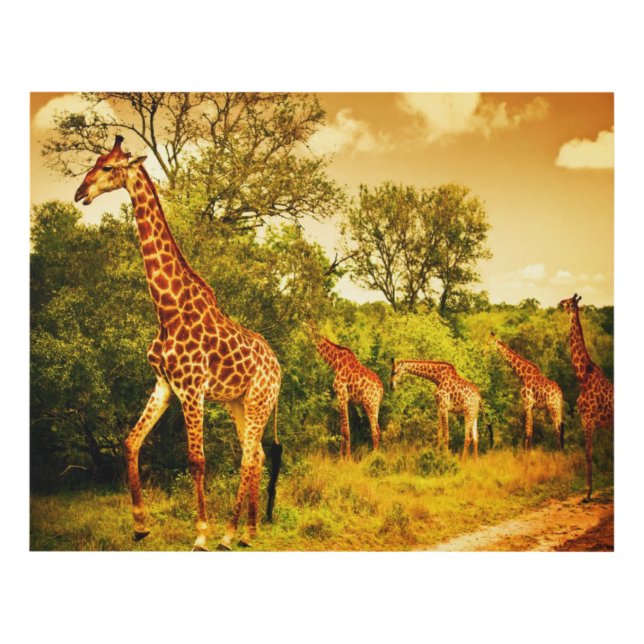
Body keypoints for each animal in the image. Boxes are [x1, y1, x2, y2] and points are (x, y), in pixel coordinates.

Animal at [74, 136, 283, 550]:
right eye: (95, 161)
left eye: (109, 167)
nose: (79, 192)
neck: (168, 310)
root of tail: (279, 366)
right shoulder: (164, 385)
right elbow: (130, 442)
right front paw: (140, 525)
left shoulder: (191, 388)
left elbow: (196, 460)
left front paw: (201, 534)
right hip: (238, 402)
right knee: (255, 455)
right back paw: (248, 532)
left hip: (259, 400)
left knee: (248, 457)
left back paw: (228, 534)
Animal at [306, 323, 383, 458]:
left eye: (309, 329)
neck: (335, 363)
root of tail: (381, 388)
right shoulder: (344, 399)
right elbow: (342, 429)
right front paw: (341, 456)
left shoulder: (342, 396)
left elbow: (346, 430)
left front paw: (347, 458)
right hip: (376, 406)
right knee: (378, 429)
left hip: (369, 404)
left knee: (375, 431)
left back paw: (373, 457)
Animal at [559, 294, 614, 501]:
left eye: (568, 302)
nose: (559, 303)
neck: (583, 375)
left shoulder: (588, 419)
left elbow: (588, 454)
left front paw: (587, 493)